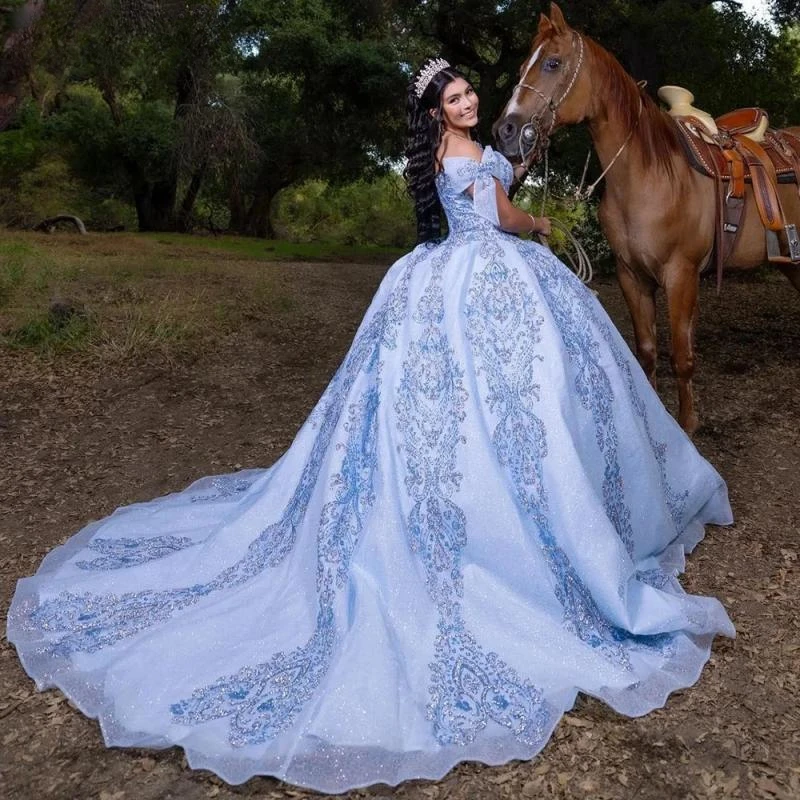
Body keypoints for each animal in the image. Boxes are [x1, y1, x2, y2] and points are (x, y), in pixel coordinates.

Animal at [494, 3, 800, 434]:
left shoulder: (681, 275)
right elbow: (648, 352)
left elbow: (682, 359)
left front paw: (687, 428)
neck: (649, 175)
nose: (504, 130)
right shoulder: (632, 276)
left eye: (553, 63)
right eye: (522, 67)